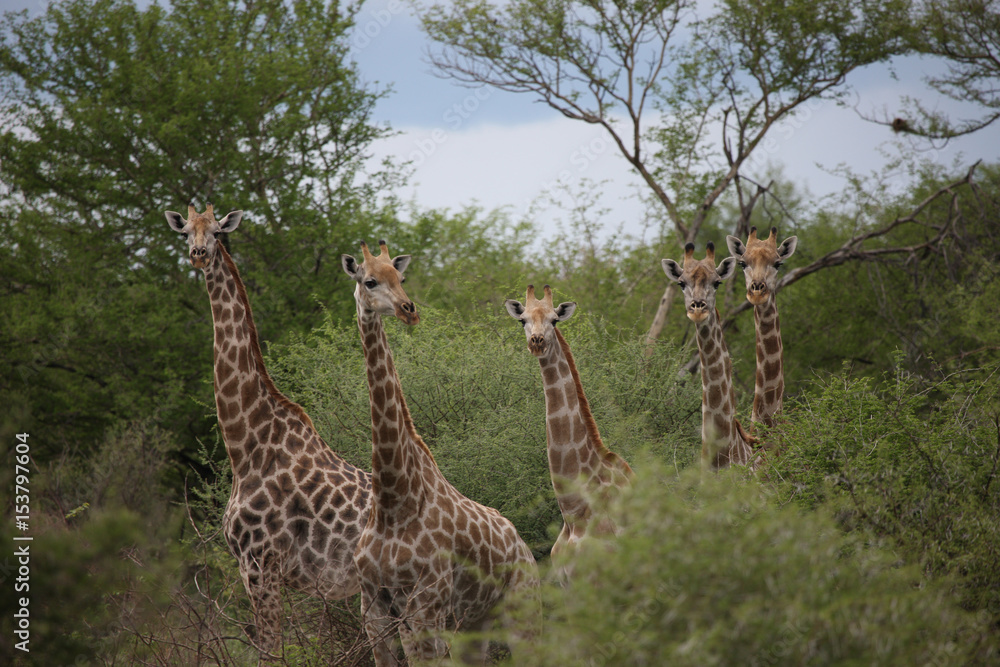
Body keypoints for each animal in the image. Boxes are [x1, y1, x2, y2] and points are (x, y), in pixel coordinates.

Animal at [165, 204, 371, 656]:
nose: (199, 254)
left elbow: (270, 651)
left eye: (218, 232)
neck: (246, 444)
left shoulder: (260, 563)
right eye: (186, 231)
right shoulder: (257, 568)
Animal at [341, 241, 539, 666]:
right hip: (474, 622)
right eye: (370, 281)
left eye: (401, 277)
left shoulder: (424, 605)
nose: (409, 310)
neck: (393, 501)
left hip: (522, 606)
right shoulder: (373, 607)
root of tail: (523, 544)